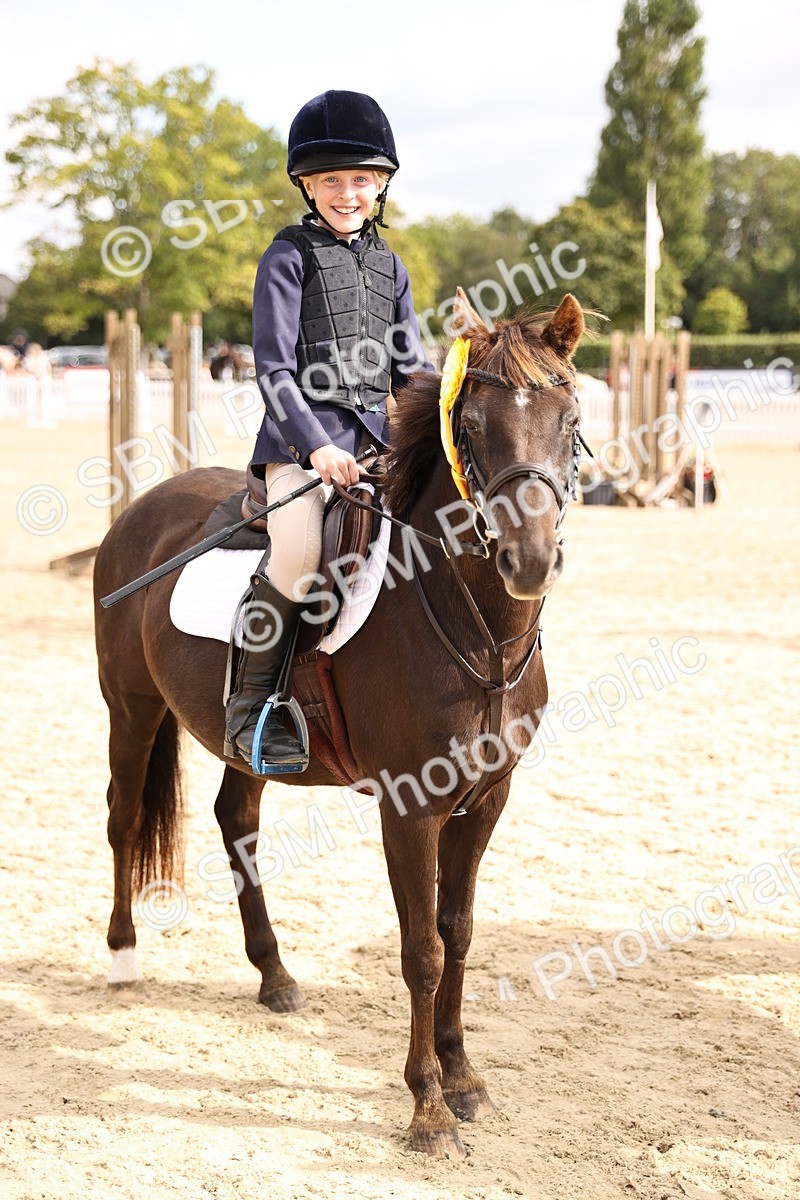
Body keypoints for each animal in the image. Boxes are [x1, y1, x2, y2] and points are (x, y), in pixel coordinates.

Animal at [93, 289, 586, 1158]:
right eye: (471, 424)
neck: (475, 627)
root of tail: (143, 508)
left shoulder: (487, 799)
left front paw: (464, 1079)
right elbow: (422, 950)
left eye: (569, 416)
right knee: (123, 819)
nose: (528, 561)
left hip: (241, 744)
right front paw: (426, 1107)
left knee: (235, 818)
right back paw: (124, 959)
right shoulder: (410, 806)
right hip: (132, 709)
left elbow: (460, 931)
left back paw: (274, 975)